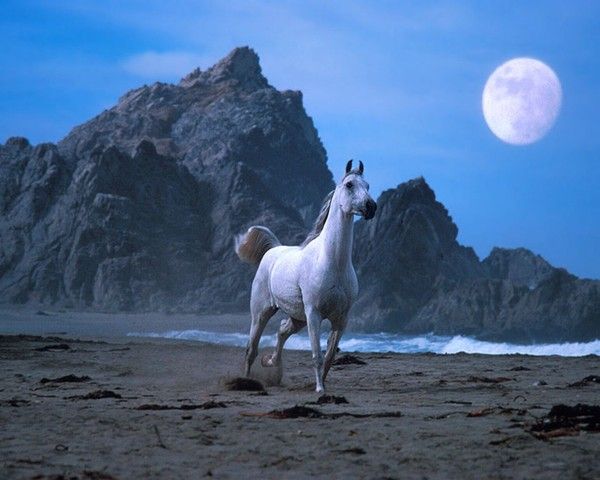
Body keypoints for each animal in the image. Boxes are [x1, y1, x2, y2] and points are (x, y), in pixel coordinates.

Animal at [234, 159, 376, 392]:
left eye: (368, 185)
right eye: (349, 184)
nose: (371, 207)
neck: (333, 263)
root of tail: (273, 249)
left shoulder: (341, 319)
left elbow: (329, 356)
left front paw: (323, 385)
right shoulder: (314, 314)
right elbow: (317, 355)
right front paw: (319, 389)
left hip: (297, 317)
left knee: (282, 331)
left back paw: (272, 363)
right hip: (262, 312)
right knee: (251, 349)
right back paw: (246, 380)